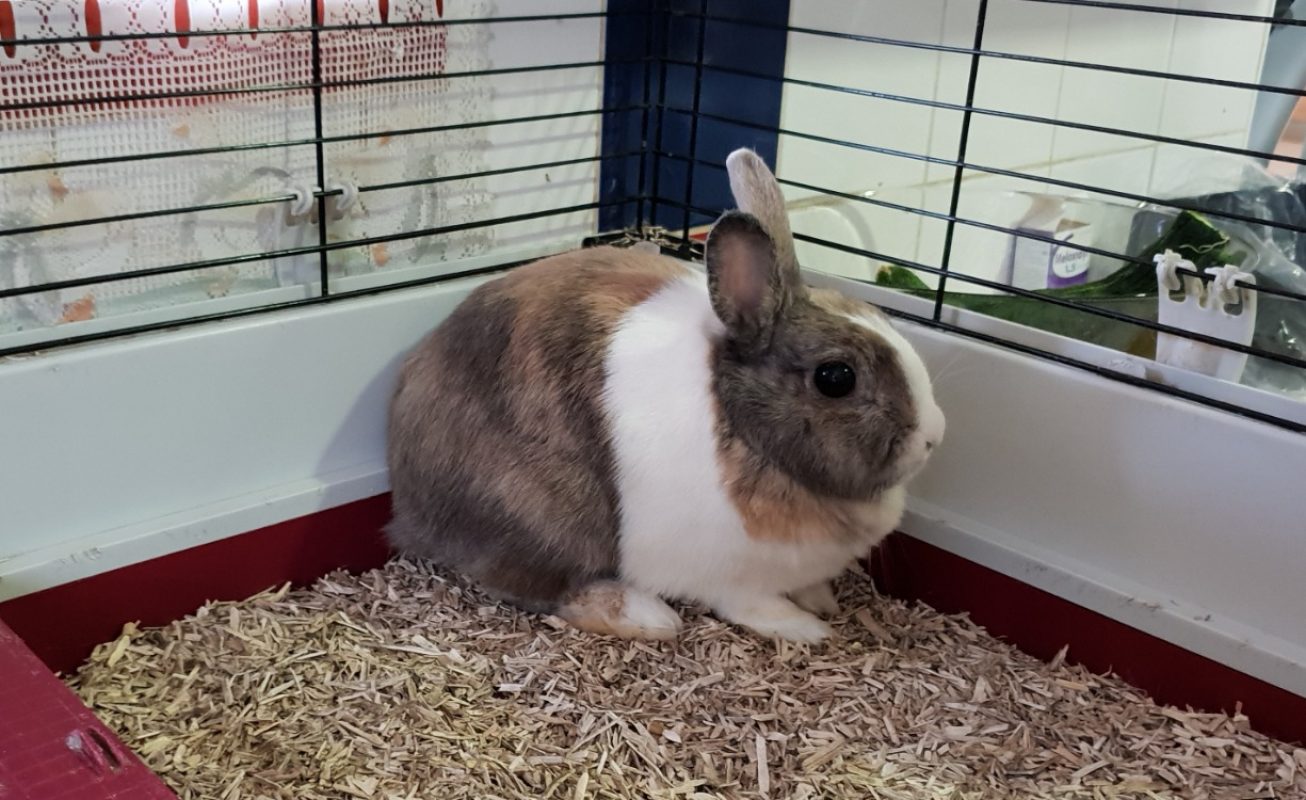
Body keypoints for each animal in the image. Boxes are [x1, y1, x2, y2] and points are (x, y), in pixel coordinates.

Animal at [386, 148, 945, 643]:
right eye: (835, 378)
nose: (934, 435)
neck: (744, 431)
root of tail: (408, 505)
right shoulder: (732, 574)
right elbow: (753, 605)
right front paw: (807, 627)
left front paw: (821, 600)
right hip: (544, 516)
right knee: (536, 586)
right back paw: (647, 616)